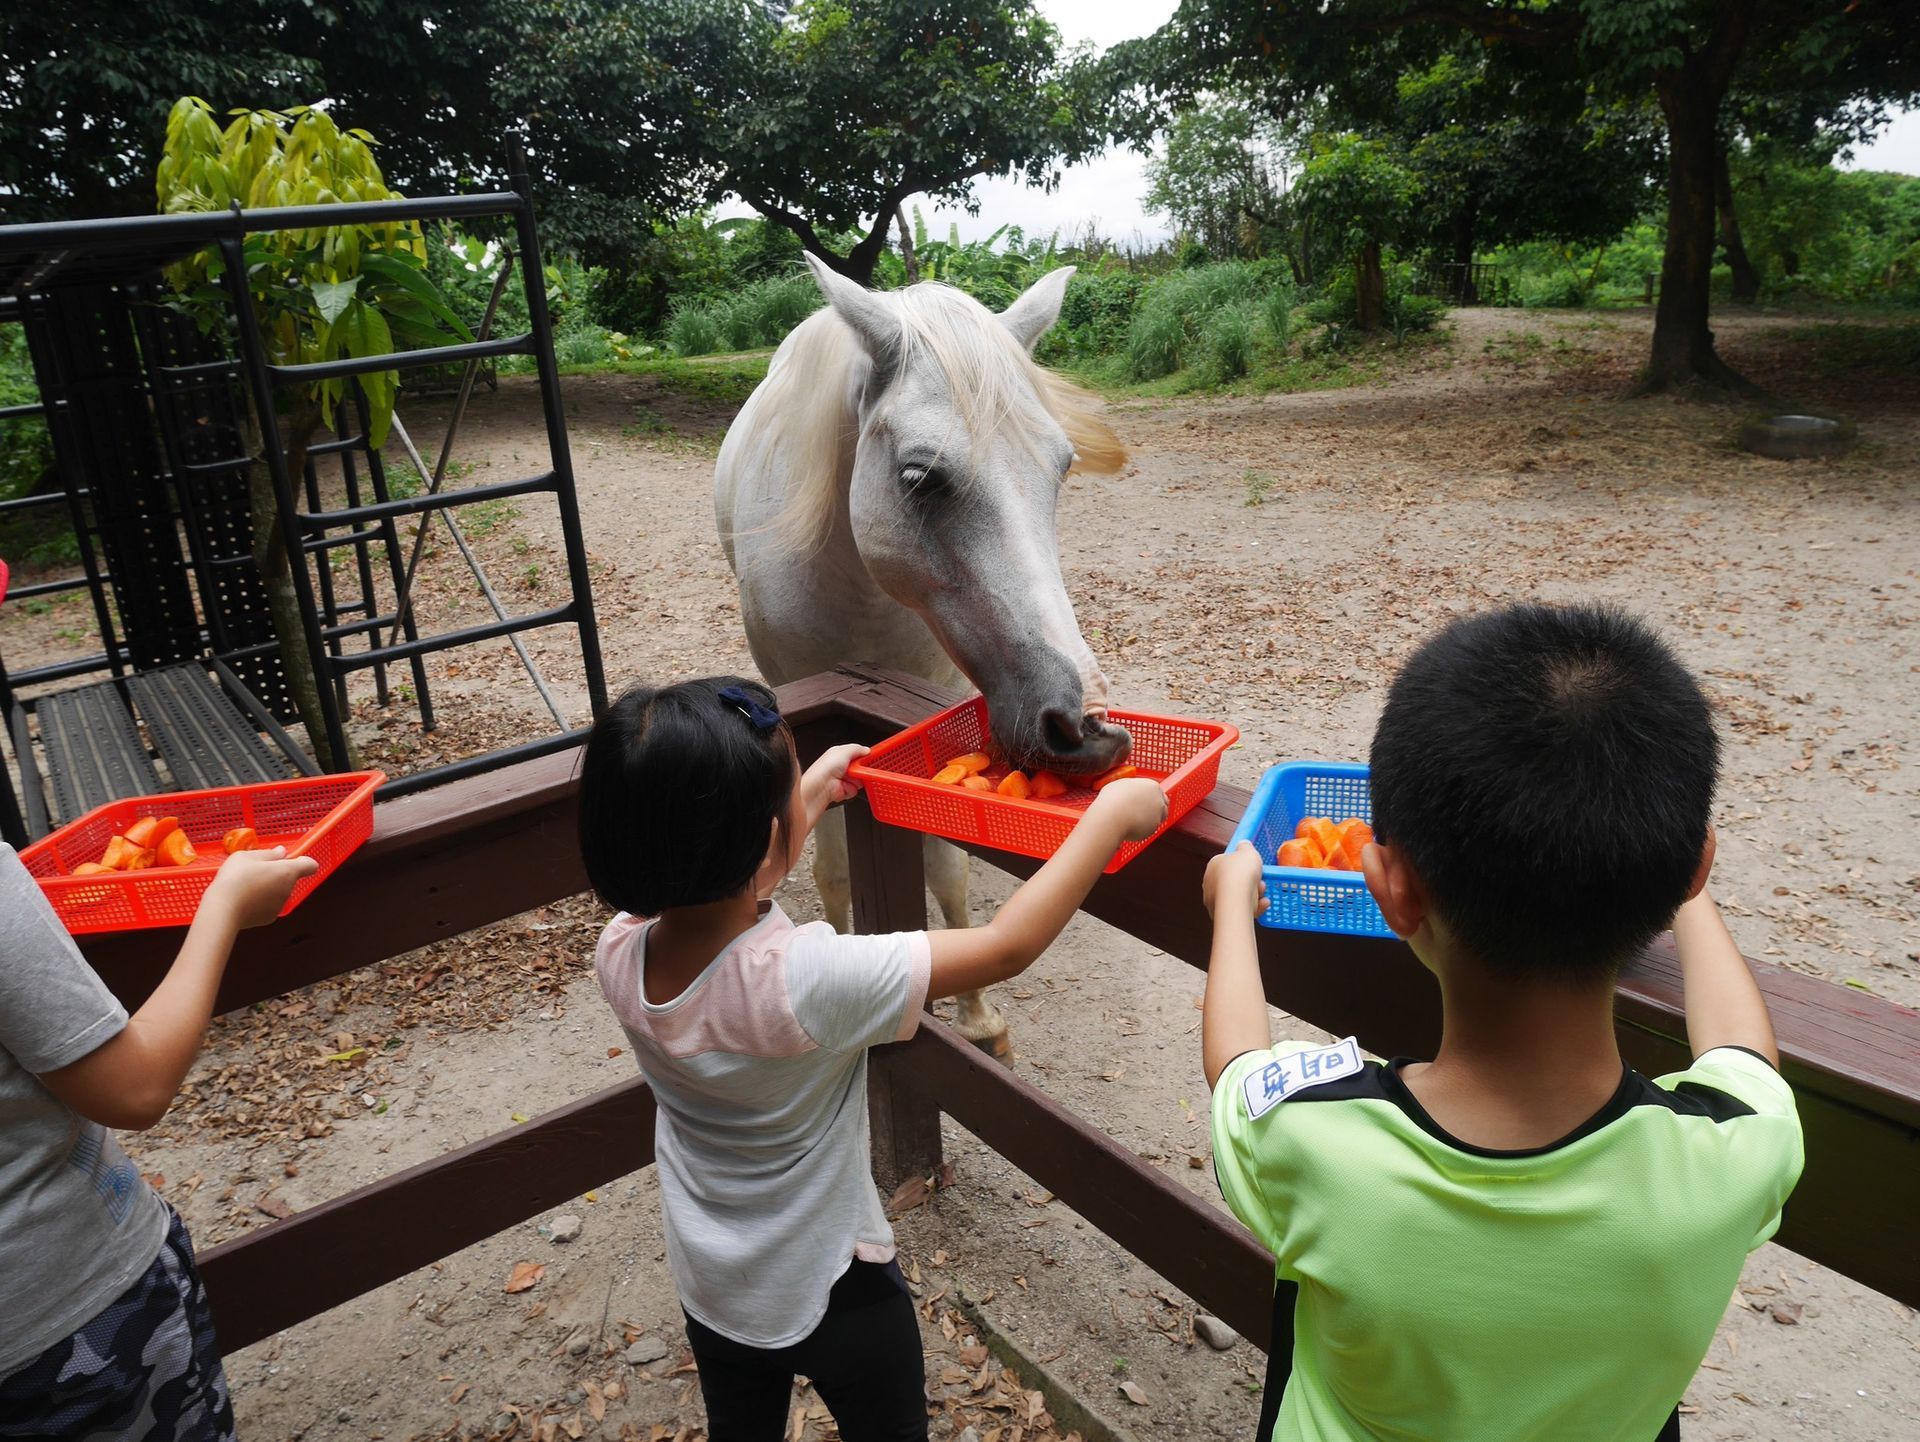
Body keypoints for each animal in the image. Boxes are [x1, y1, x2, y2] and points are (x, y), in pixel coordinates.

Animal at [714, 254, 1129, 1055]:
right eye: (920, 477)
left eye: (1061, 468)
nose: (1086, 729)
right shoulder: (806, 716)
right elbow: (836, 868)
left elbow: (947, 865)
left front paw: (979, 1020)